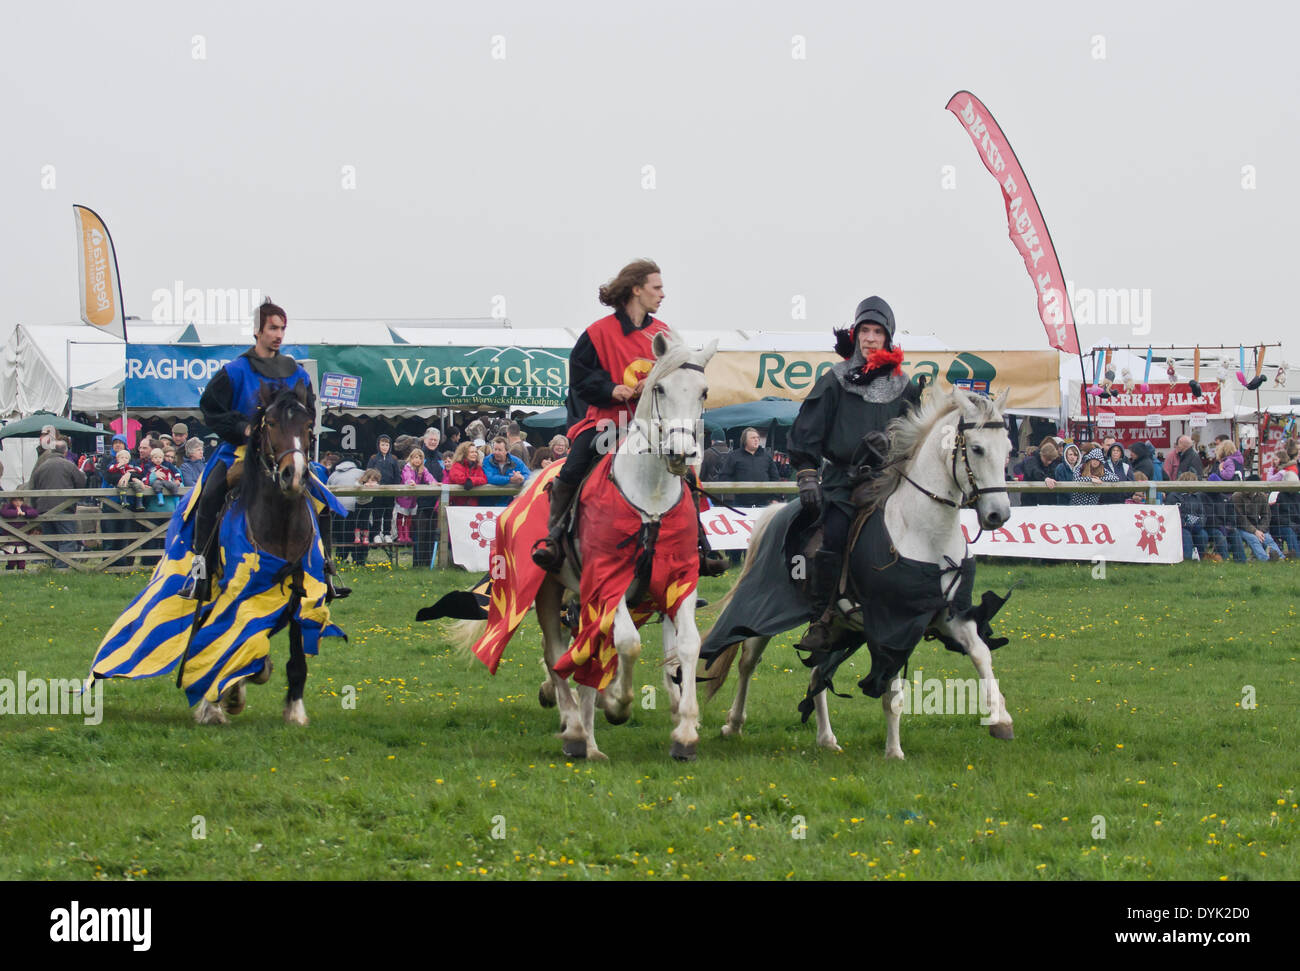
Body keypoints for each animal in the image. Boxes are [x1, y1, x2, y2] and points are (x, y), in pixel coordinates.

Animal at [702, 387, 1013, 759]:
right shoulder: (891, 625)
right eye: (977, 448)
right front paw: (894, 751)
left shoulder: (950, 616)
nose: (998, 515)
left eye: (1008, 449)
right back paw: (733, 724)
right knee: (748, 660)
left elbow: (981, 655)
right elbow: (891, 691)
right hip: (764, 608)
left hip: (837, 627)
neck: (923, 534)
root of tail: (776, 511)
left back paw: (826, 737)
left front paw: (1000, 719)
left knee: (817, 672)